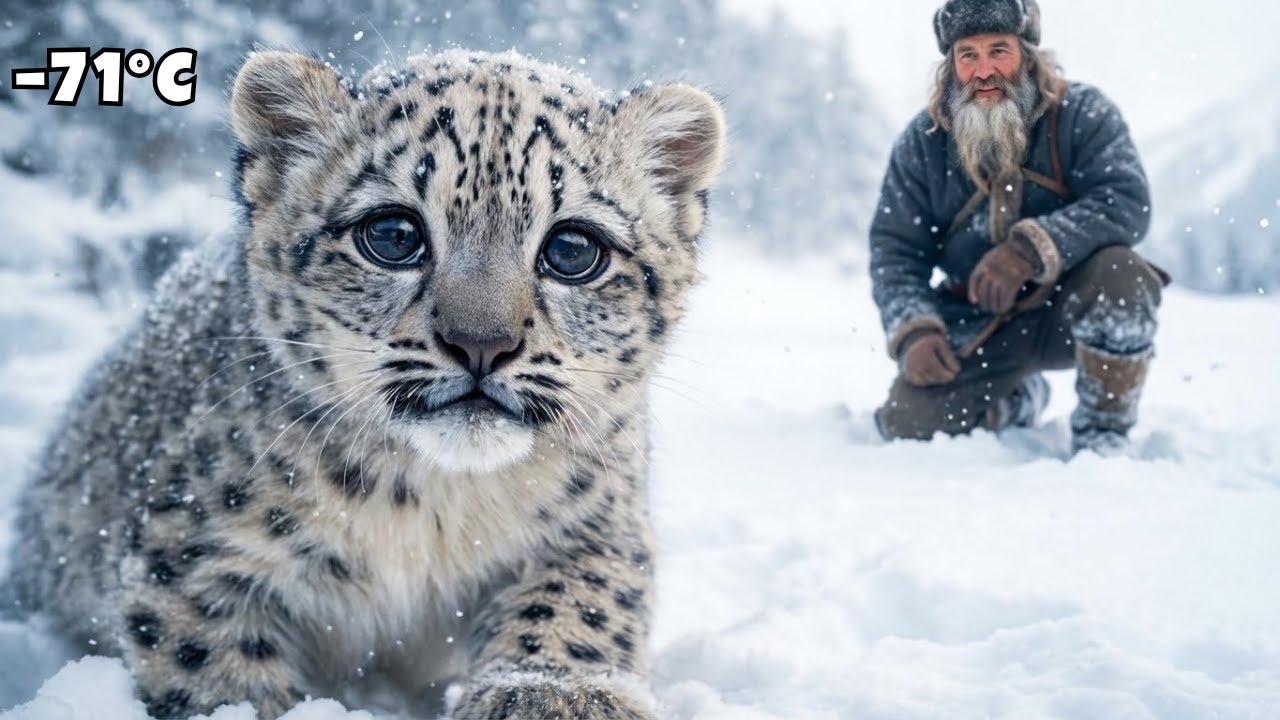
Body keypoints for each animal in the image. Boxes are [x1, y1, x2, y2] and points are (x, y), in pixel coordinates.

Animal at [4, 48, 725, 719]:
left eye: (574, 249)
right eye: (393, 234)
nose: (482, 344)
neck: (438, 507)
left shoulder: (598, 518)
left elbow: (587, 598)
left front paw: (553, 694)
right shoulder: (195, 552)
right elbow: (210, 662)